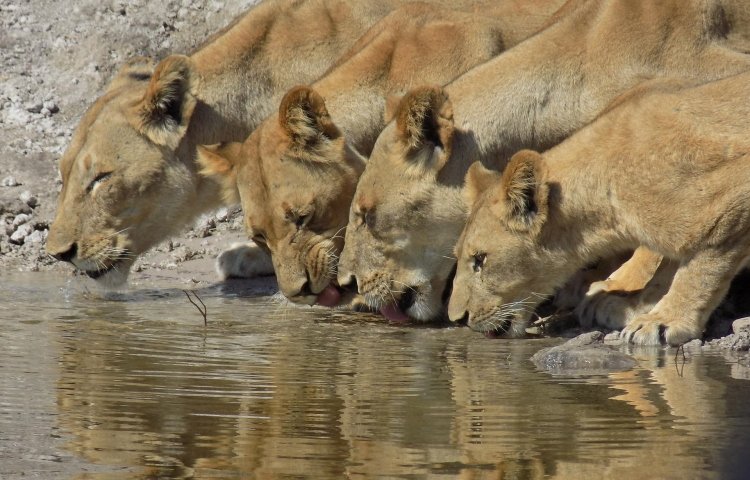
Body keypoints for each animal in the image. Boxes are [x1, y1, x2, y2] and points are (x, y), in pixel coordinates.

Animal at [450, 70, 750, 344]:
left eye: (480, 259)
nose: (458, 319)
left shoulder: (730, 200)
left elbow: (699, 271)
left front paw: (664, 321)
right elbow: (666, 268)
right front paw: (636, 305)